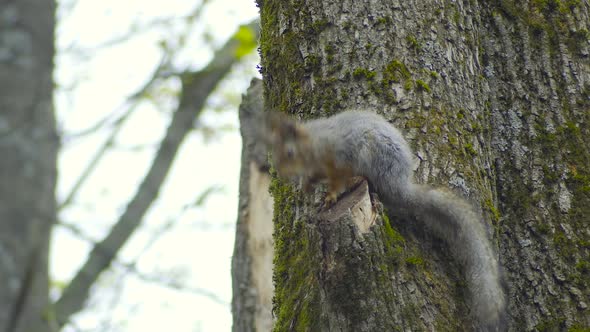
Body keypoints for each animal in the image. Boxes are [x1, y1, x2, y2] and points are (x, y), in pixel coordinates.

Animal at [260, 109, 508, 330]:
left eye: (290, 153)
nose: (282, 174)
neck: (314, 144)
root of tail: (399, 185)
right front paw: (309, 190)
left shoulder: (338, 160)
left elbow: (337, 183)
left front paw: (329, 197)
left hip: (371, 156)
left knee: (365, 179)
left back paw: (356, 180)